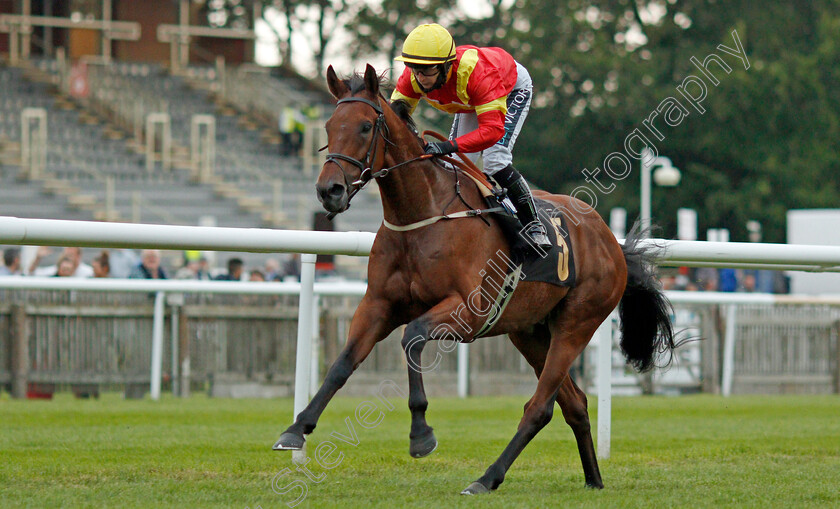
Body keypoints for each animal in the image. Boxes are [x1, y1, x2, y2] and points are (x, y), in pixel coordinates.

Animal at [276, 65, 676, 494]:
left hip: (577, 323)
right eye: (329, 126)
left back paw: (487, 478)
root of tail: (610, 241)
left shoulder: (469, 313)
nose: (329, 190)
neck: (423, 214)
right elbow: (342, 363)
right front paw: (296, 428)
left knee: (540, 407)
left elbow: (412, 337)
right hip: (530, 331)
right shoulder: (378, 304)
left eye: (366, 126)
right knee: (574, 403)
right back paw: (593, 480)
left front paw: (421, 435)